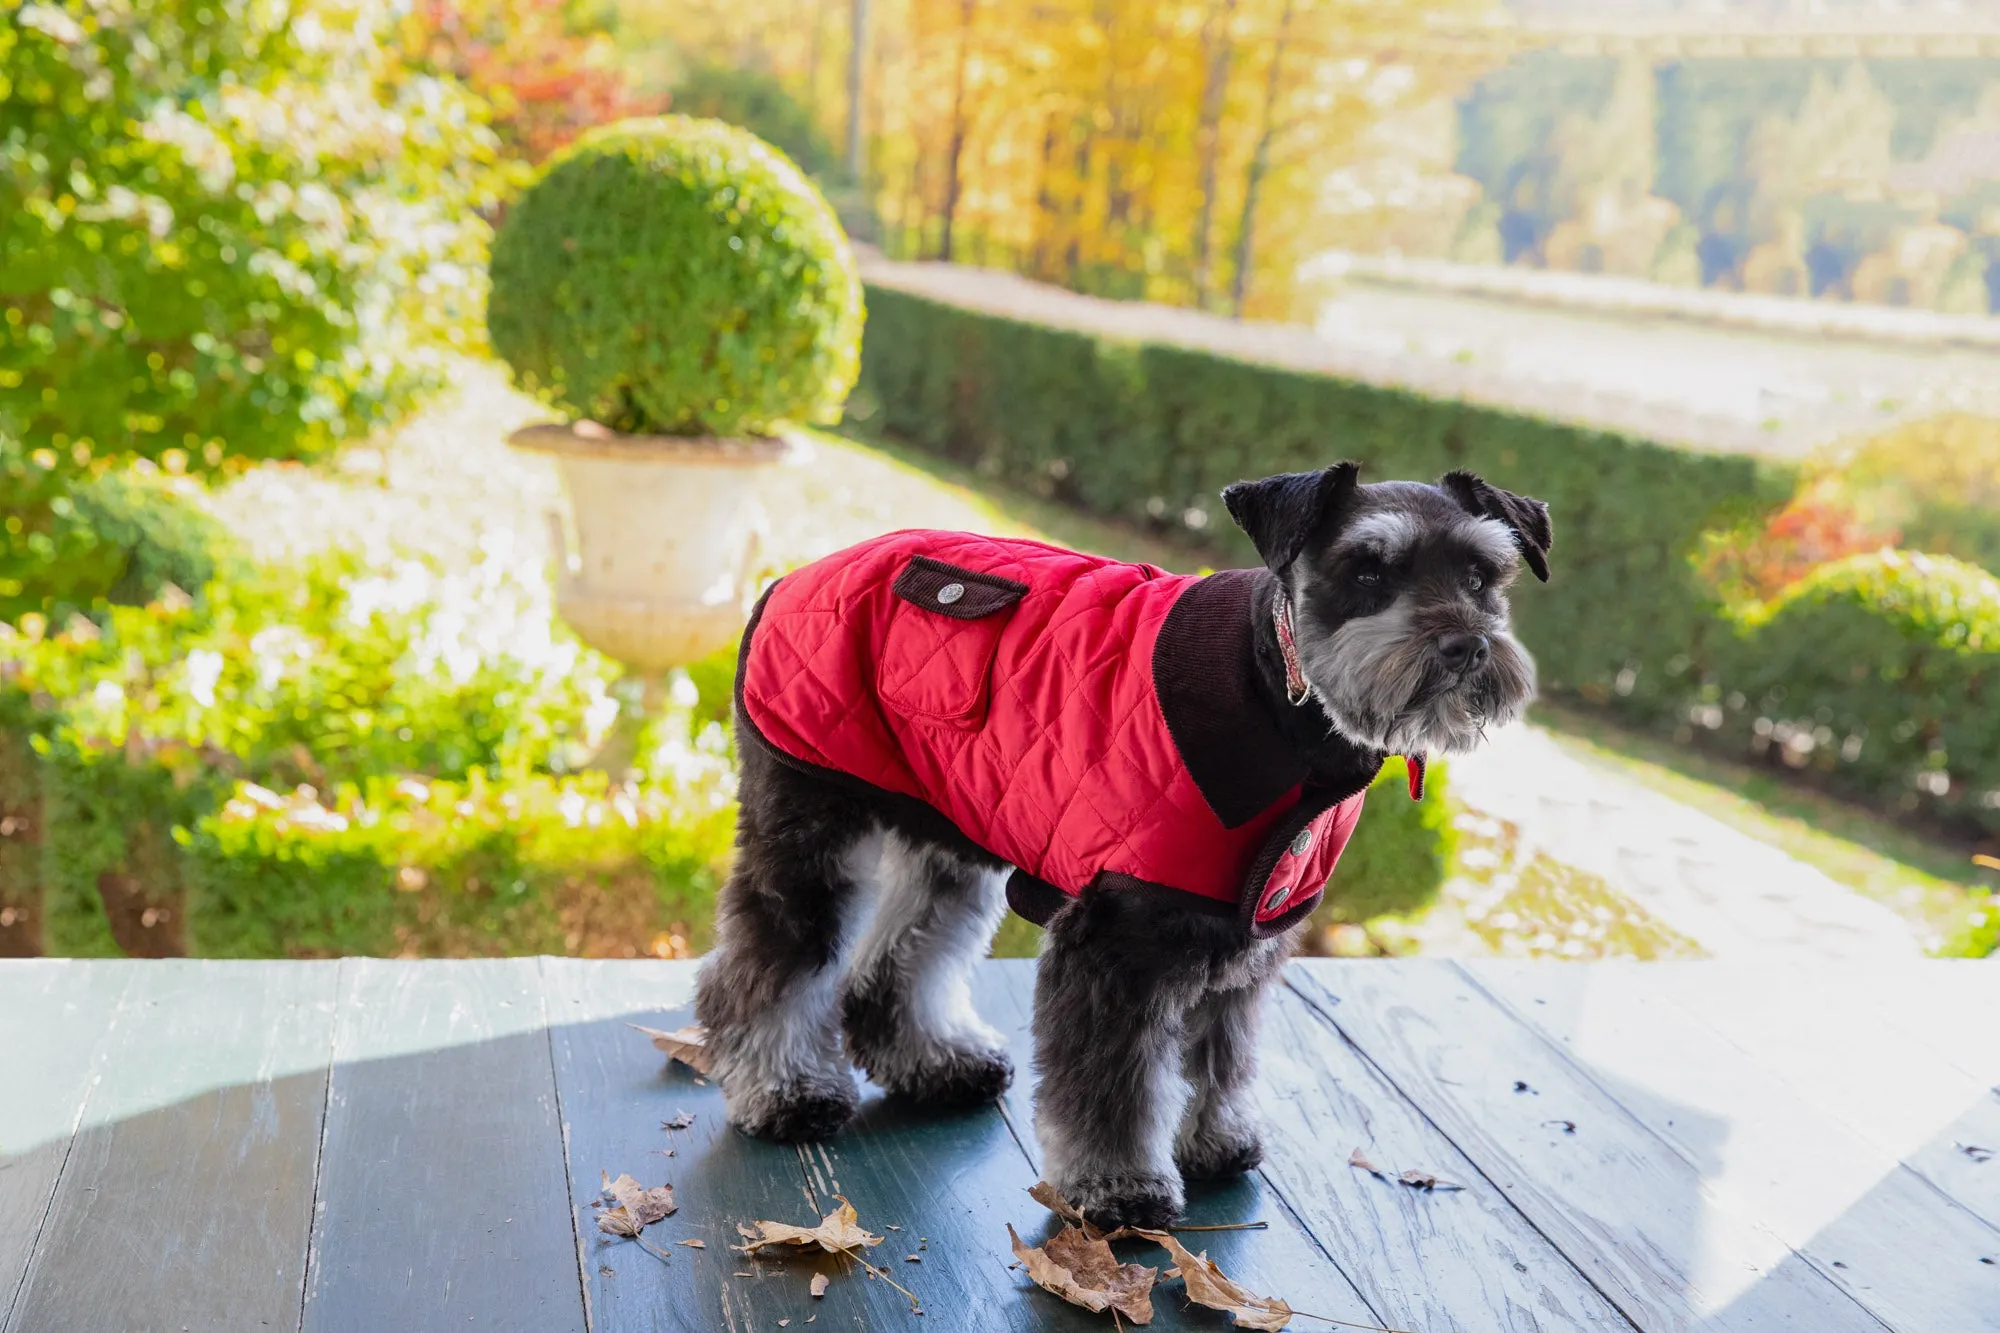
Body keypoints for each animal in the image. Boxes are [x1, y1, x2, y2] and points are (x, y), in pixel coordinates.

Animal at [696, 460, 1552, 1224]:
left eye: (1482, 573)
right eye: (1368, 570)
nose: (1465, 646)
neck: (1281, 697)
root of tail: (795, 576)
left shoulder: (1244, 934)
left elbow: (1220, 1051)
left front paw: (1214, 1137)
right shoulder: (1118, 941)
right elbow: (1114, 1085)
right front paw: (1119, 1185)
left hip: (954, 830)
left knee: (904, 958)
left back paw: (937, 1060)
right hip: (814, 827)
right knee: (771, 957)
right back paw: (785, 1089)